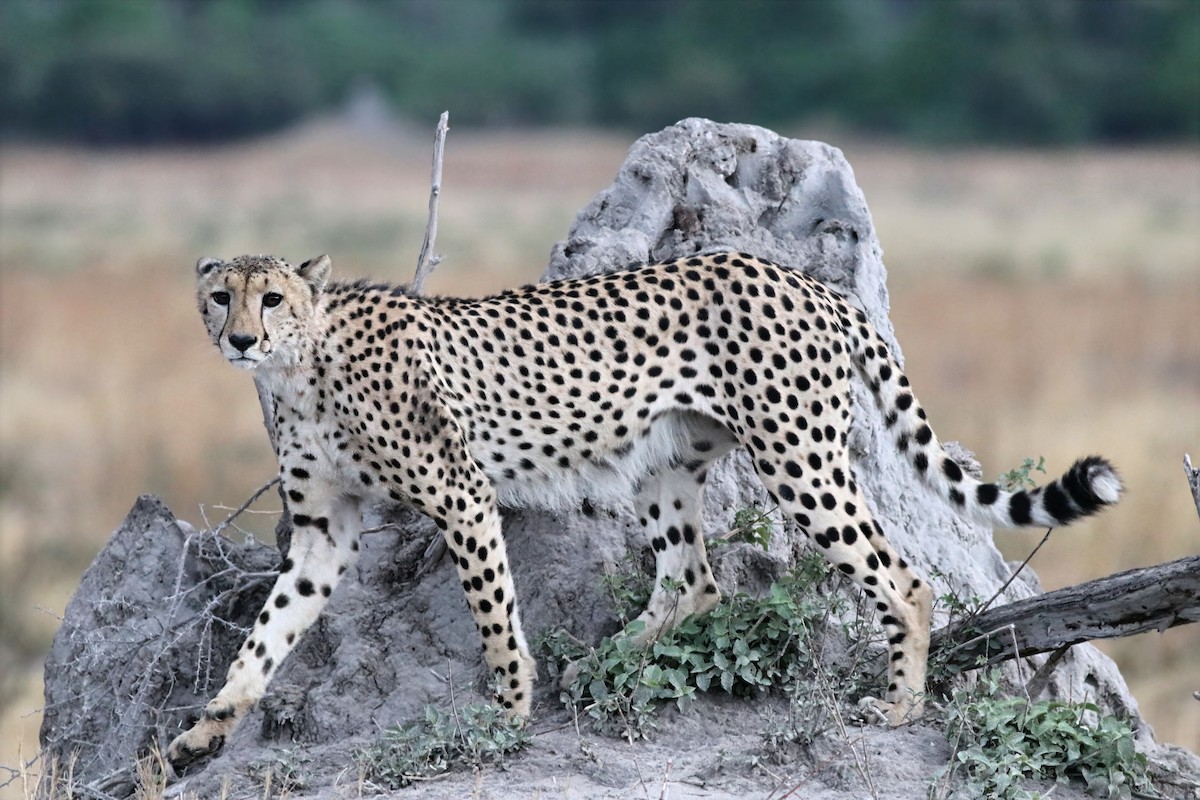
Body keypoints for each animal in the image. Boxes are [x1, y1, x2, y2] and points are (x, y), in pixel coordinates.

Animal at [167, 250, 1121, 771]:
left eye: (273, 297)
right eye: (222, 295)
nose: (239, 337)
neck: (300, 366)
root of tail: (806, 279)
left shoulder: (462, 496)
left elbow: (493, 615)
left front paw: (507, 712)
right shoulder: (321, 531)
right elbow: (267, 635)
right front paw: (206, 732)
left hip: (799, 459)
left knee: (903, 576)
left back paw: (898, 707)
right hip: (667, 463)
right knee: (695, 579)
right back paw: (610, 659)